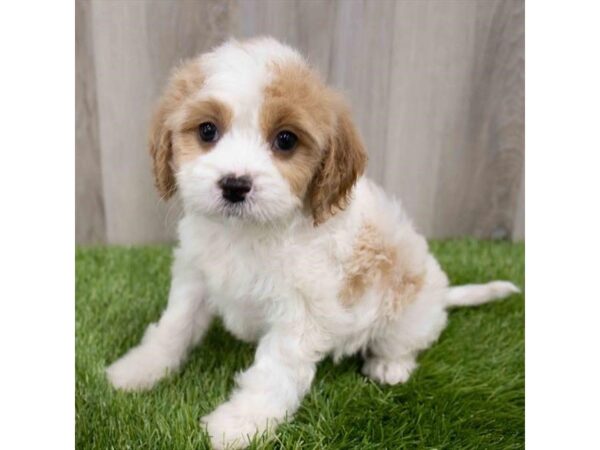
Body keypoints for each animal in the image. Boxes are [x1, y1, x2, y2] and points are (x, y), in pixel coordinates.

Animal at [108, 37, 520, 448]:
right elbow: (174, 326)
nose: (235, 185)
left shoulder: (300, 312)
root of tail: (441, 294)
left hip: (408, 305)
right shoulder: (195, 274)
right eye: (208, 131)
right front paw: (138, 368)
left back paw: (390, 365)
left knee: (408, 339)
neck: (248, 232)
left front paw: (239, 425)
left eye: (285, 140)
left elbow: (273, 371)